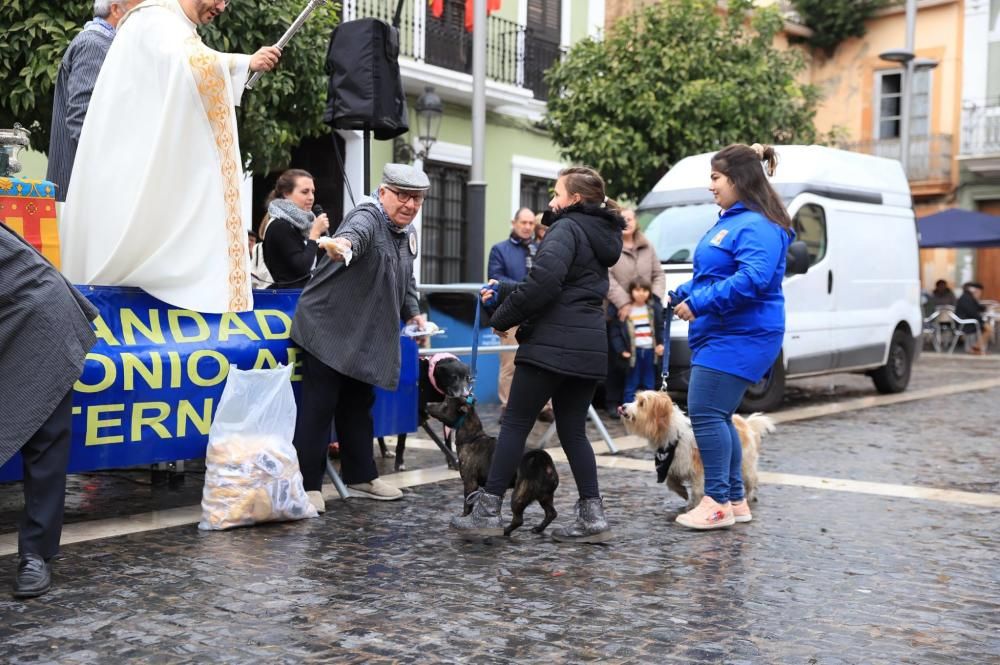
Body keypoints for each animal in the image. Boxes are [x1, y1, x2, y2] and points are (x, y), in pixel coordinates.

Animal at [424, 394, 560, 536]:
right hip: (545, 496)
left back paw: (505, 531)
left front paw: (463, 519)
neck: (472, 437)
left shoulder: (470, 484)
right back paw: (538, 529)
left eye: (445, 403)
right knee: (551, 513)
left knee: (518, 520)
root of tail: (544, 463)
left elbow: (467, 505)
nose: (426, 405)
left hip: (519, 496)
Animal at [620, 390, 776, 508]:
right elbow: (671, 483)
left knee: (752, 480)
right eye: (635, 399)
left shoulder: (699, 470)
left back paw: (749, 497)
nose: (622, 407)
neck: (675, 436)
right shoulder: (674, 466)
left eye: (642, 403)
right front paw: (683, 492)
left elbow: (696, 490)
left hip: (746, 465)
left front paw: (694, 505)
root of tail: (744, 422)